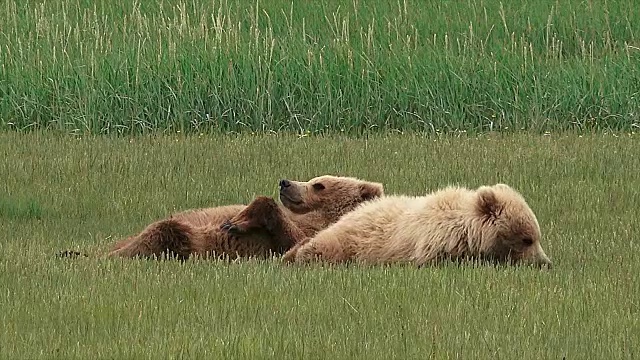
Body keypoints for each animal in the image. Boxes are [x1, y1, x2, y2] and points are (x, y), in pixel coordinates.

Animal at [107, 176, 382, 260]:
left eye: (319, 185)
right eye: (314, 179)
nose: (285, 182)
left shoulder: (308, 235)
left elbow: (292, 241)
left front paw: (236, 223)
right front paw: (235, 218)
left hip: (189, 241)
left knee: (168, 232)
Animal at [224, 183, 552, 268]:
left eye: (536, 237)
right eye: (527, 239)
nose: (545, 263)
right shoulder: (433, 243)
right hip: (350, 240)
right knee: (319, 248)